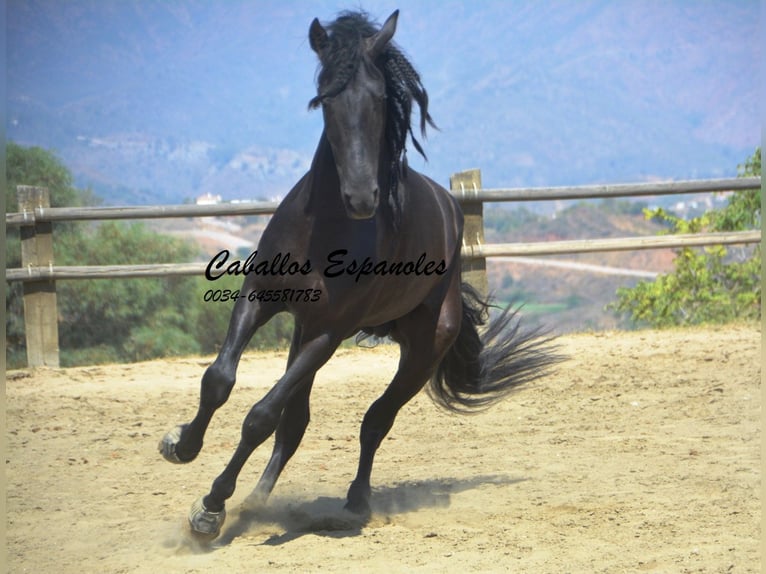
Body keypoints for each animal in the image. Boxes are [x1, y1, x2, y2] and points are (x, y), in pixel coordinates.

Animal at [159, 9, 560, 540]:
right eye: (326, 97)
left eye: (378, 97)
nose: (361, 197)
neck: (324, 230)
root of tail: (451, 209)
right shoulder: (260, 297)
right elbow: (219, 380)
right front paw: (181, 446)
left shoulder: (329, 333)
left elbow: (261, 415)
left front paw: (210, 508)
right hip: (304, 331)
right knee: (298, 421)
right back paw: (258, 499)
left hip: (419, 352)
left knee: (374, 420)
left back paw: (353, 502)